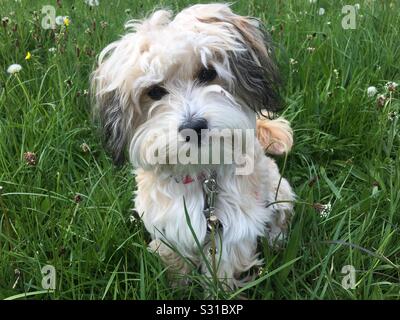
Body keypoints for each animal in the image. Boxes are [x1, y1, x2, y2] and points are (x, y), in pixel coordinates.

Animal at [92, 1, 296, 288]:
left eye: (208, 73)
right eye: (154, 91)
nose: (194, 126)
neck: (200, 176)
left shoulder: (233, 228)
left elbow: (223, 269)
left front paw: (219, 290)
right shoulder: (168, 224)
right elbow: (174, 258)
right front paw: (177, 283)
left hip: (279, 190)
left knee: (282, 215)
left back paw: (277, 239)